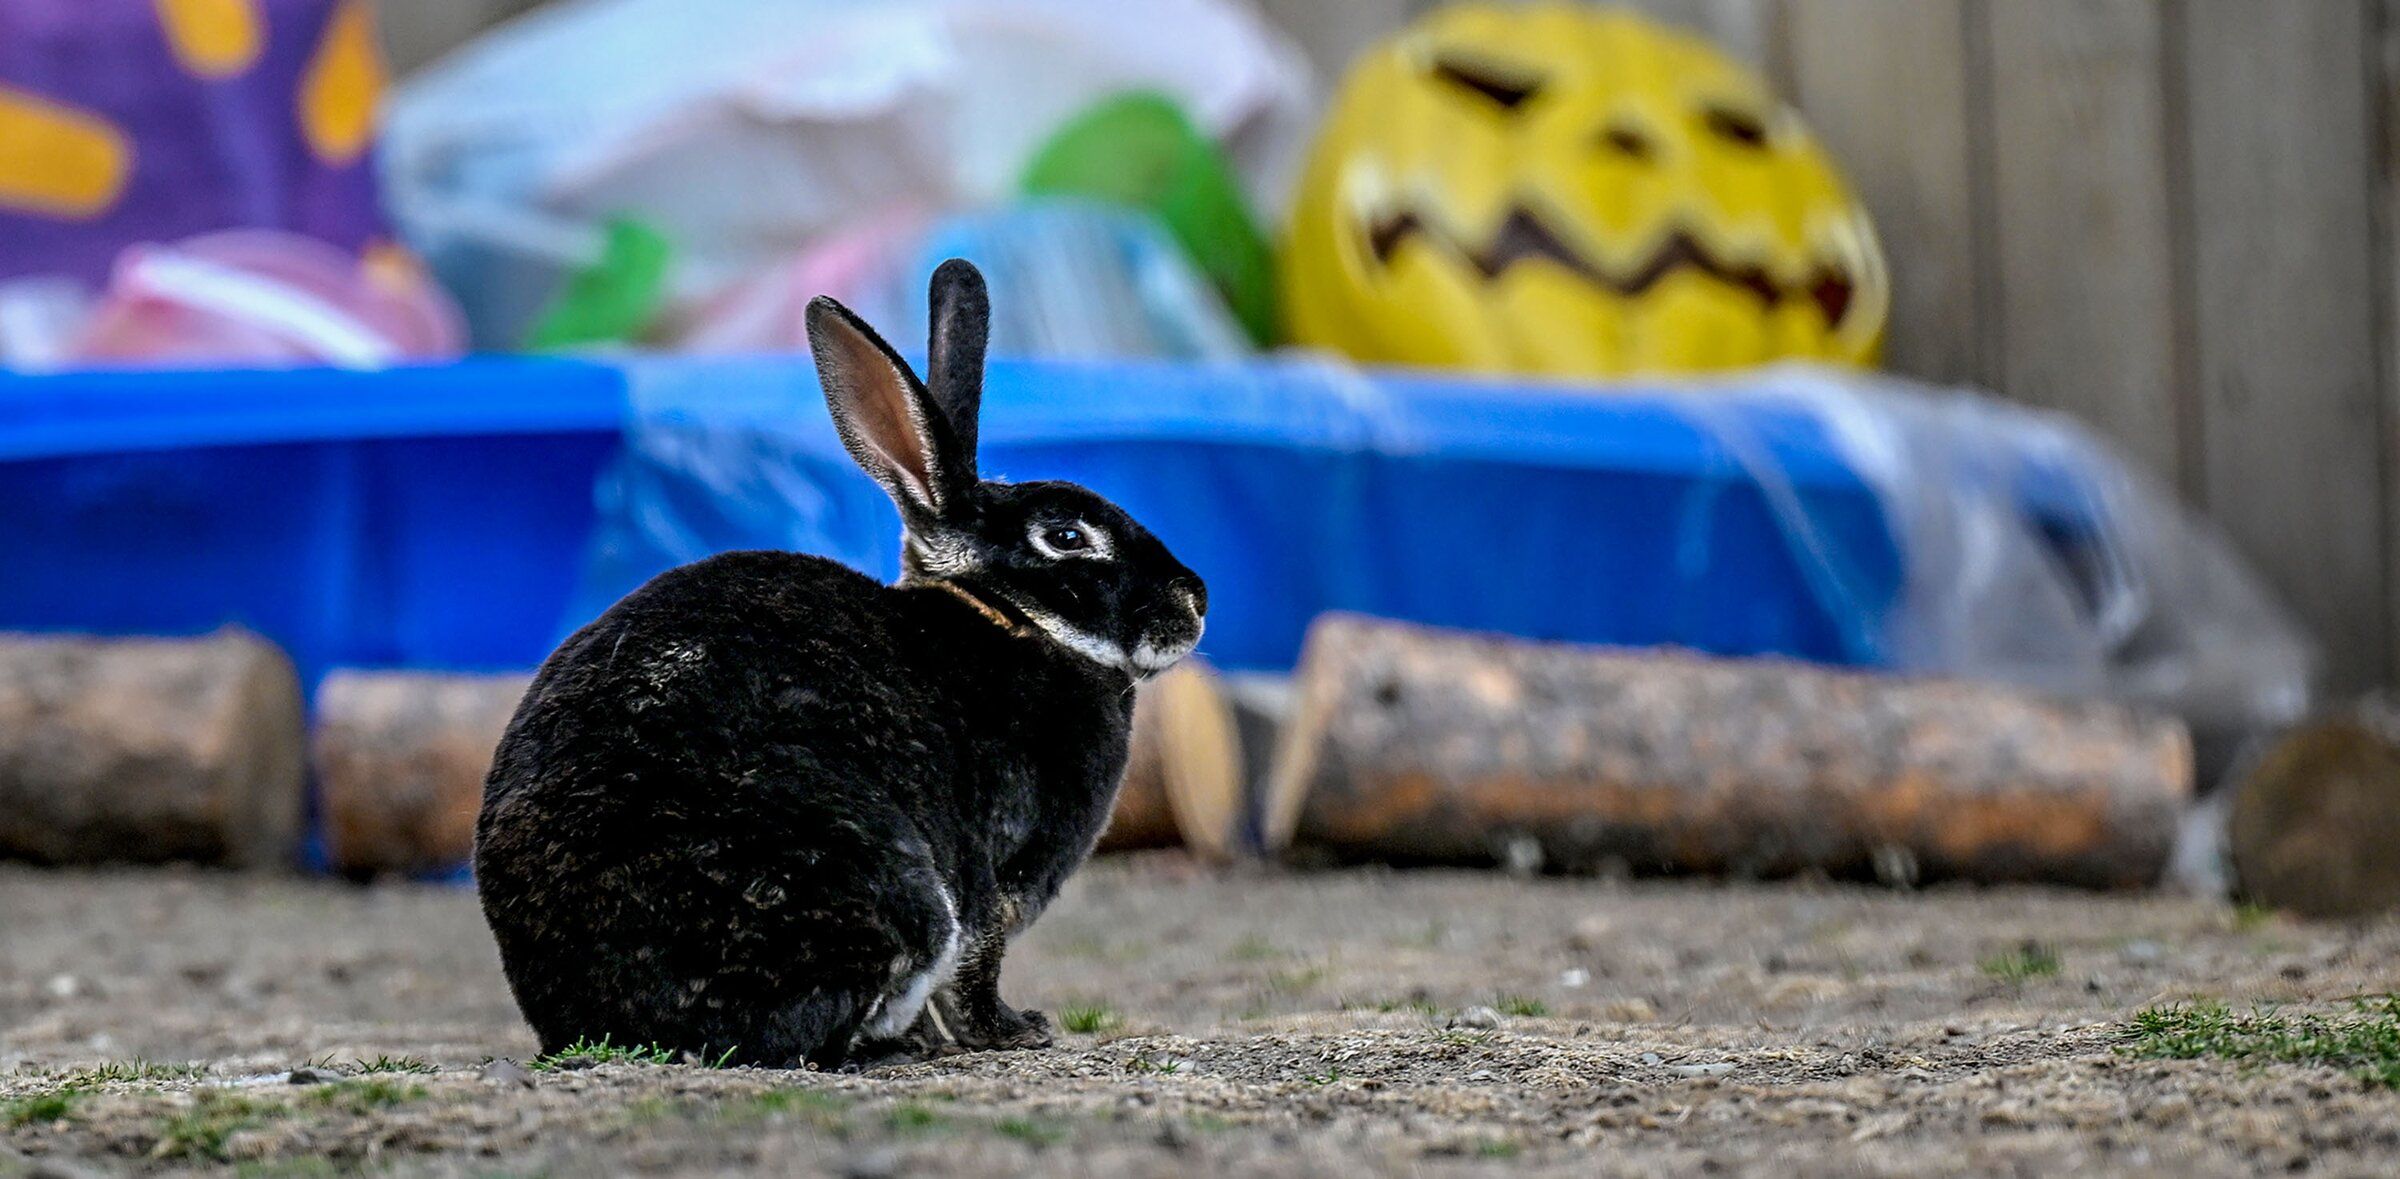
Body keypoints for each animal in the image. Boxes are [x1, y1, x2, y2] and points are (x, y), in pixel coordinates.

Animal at [477, 260, 1209, 1070]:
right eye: (1068, 536)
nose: (1195, 600)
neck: (1010, 619)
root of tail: (611, 1017)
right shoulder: (992, 873)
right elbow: (978, 965)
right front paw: (1015, 1030)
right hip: (888, 891)